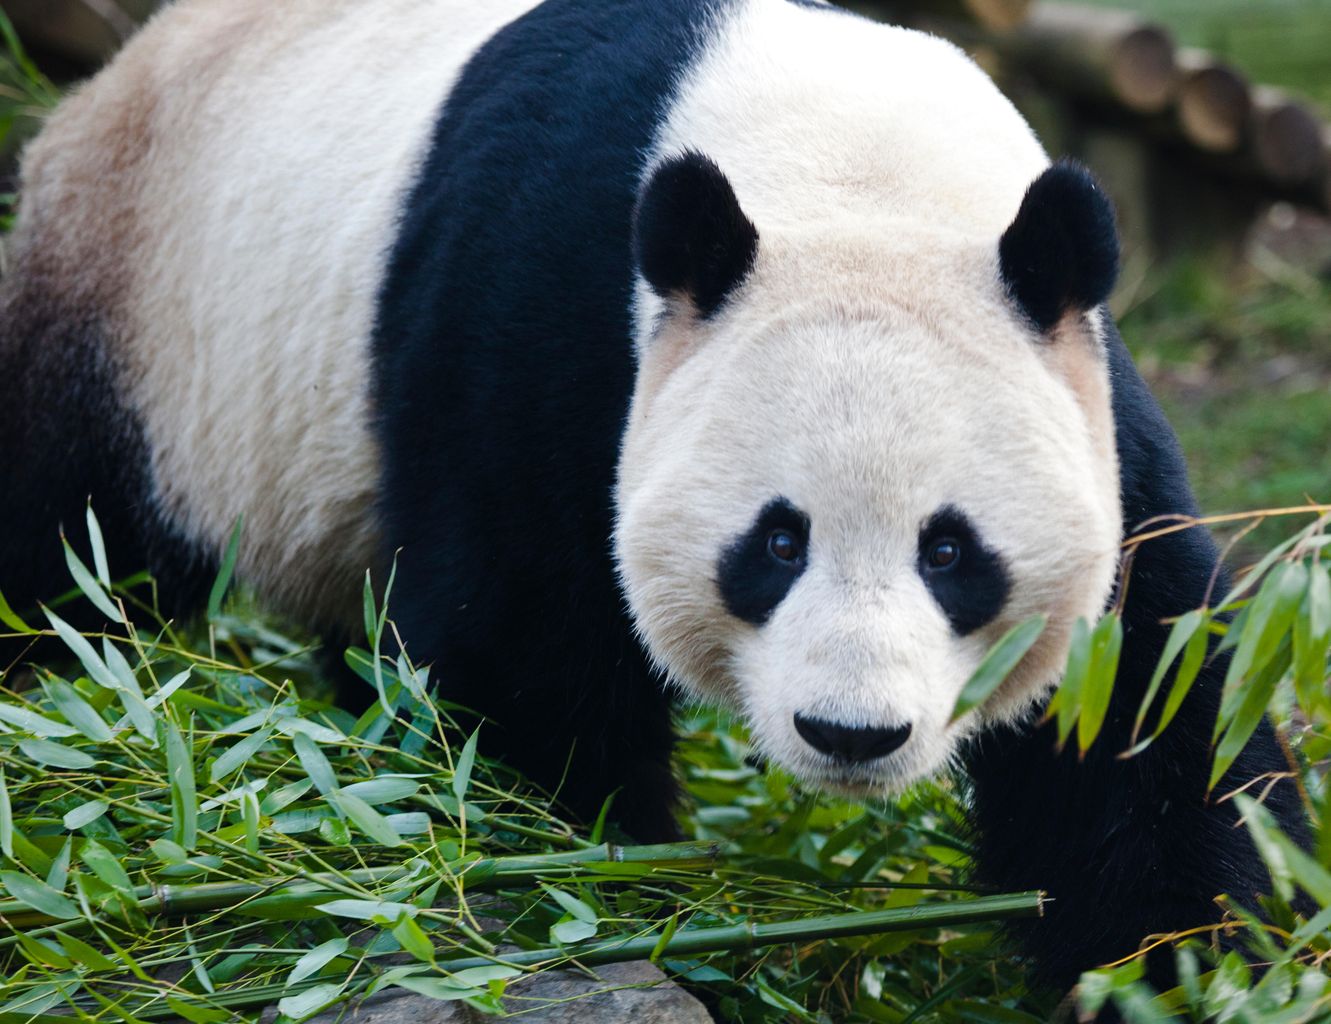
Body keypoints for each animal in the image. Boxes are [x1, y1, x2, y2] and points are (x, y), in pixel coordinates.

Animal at [0, 0, 1304, 1001]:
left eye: (950, 552)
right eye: (775, 541)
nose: (850, 734)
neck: (854, 177)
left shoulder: (1085, 397)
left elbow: (1150, 715)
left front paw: (1181, 969)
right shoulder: (542, 323)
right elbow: (520, 654)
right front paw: (600, 882)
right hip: (131, 323)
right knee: (67, 552)